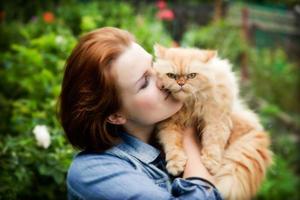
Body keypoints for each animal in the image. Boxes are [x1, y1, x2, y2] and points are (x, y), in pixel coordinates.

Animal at [154, 44, 274, 200]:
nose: (181, 83)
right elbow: (173, 144)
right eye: (171, 76)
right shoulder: (169, 124)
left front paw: (211, 163)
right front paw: (175, 164)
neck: (188, 104)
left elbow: (213, 142)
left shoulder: (216, 119)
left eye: (191, 75)